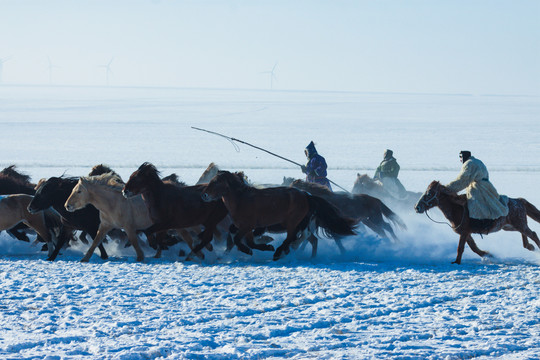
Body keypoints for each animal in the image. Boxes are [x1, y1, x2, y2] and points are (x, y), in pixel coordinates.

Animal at [200, 170, 356, 260]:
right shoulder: (244, 226)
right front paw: (264, 245)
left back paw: (281, 252)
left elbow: (240, 240)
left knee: (293, 238)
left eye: (216, 182)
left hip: (293, 223)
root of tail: (307, 195)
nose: (204, 195)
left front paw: (255, 249)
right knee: (307, 238)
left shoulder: (248, 226)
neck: (242, 199)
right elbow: (240, 238)